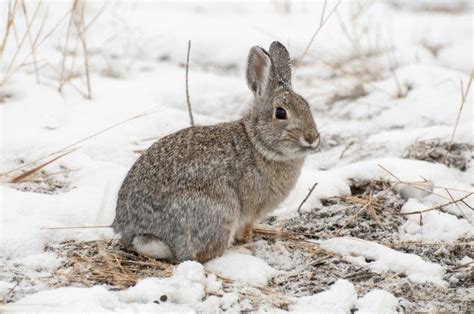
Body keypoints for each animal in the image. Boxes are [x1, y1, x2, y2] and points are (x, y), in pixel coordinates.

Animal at [111, 41, 320, 262]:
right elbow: (245, 230)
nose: (312, 137)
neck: (258, 143)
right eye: (280, 113)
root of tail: (142, 234)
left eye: (307, 106)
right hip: (220, 211)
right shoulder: (249, 212)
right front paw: (248, 242)